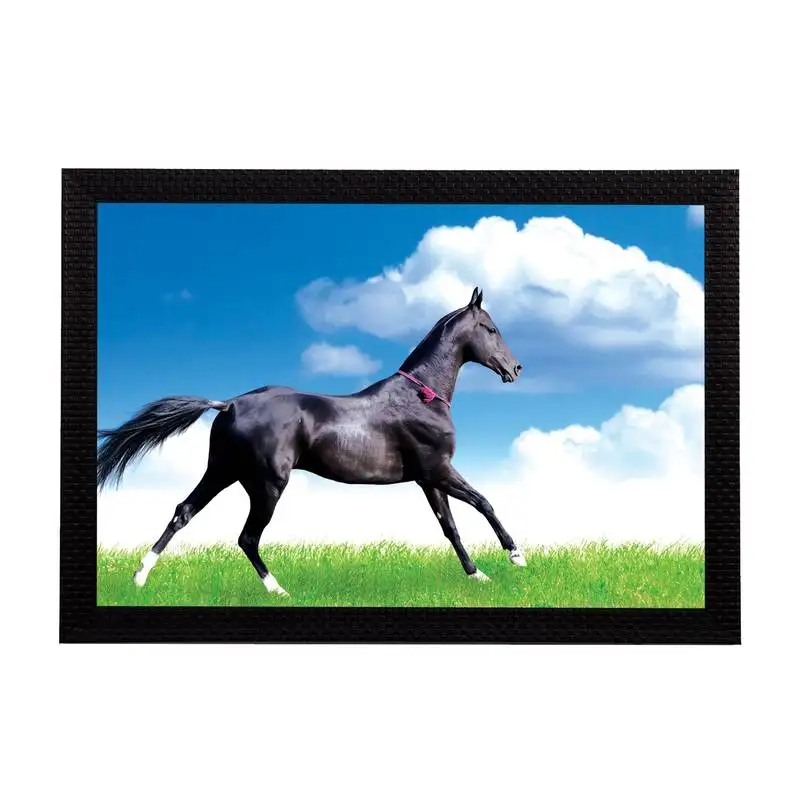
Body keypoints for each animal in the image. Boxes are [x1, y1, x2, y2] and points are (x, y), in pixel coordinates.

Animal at [97, 286, 526, 596]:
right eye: (491, 329)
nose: (516, 368)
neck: (421, 396)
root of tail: (229, 404)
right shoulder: (439, 469)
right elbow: (484, 503)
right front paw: (516, 556)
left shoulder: (427, 478)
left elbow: (450, 527)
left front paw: (477, 576)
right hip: (266, 485)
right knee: (247, 537)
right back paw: (278, 591)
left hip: (222, 472)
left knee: (183, 512)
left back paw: (139, 577)